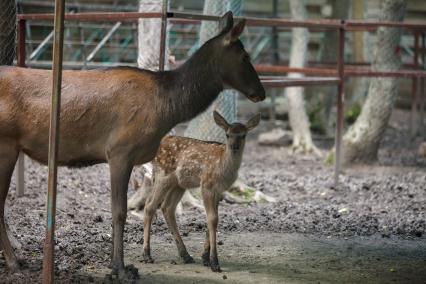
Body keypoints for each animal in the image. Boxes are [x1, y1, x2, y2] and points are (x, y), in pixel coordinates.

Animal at [142, 110, 260, 270]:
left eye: (243, 135)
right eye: (227, 134)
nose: (234, 147)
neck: (223, 167)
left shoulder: (219, 190)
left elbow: (214, 218)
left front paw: (205, 258)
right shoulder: (206, 184)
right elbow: (212, 218)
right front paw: (214, 262)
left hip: (179, 183)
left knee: (167, 207)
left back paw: (186, 255)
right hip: (162, 175)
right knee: (150, 206)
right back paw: (147, 255)